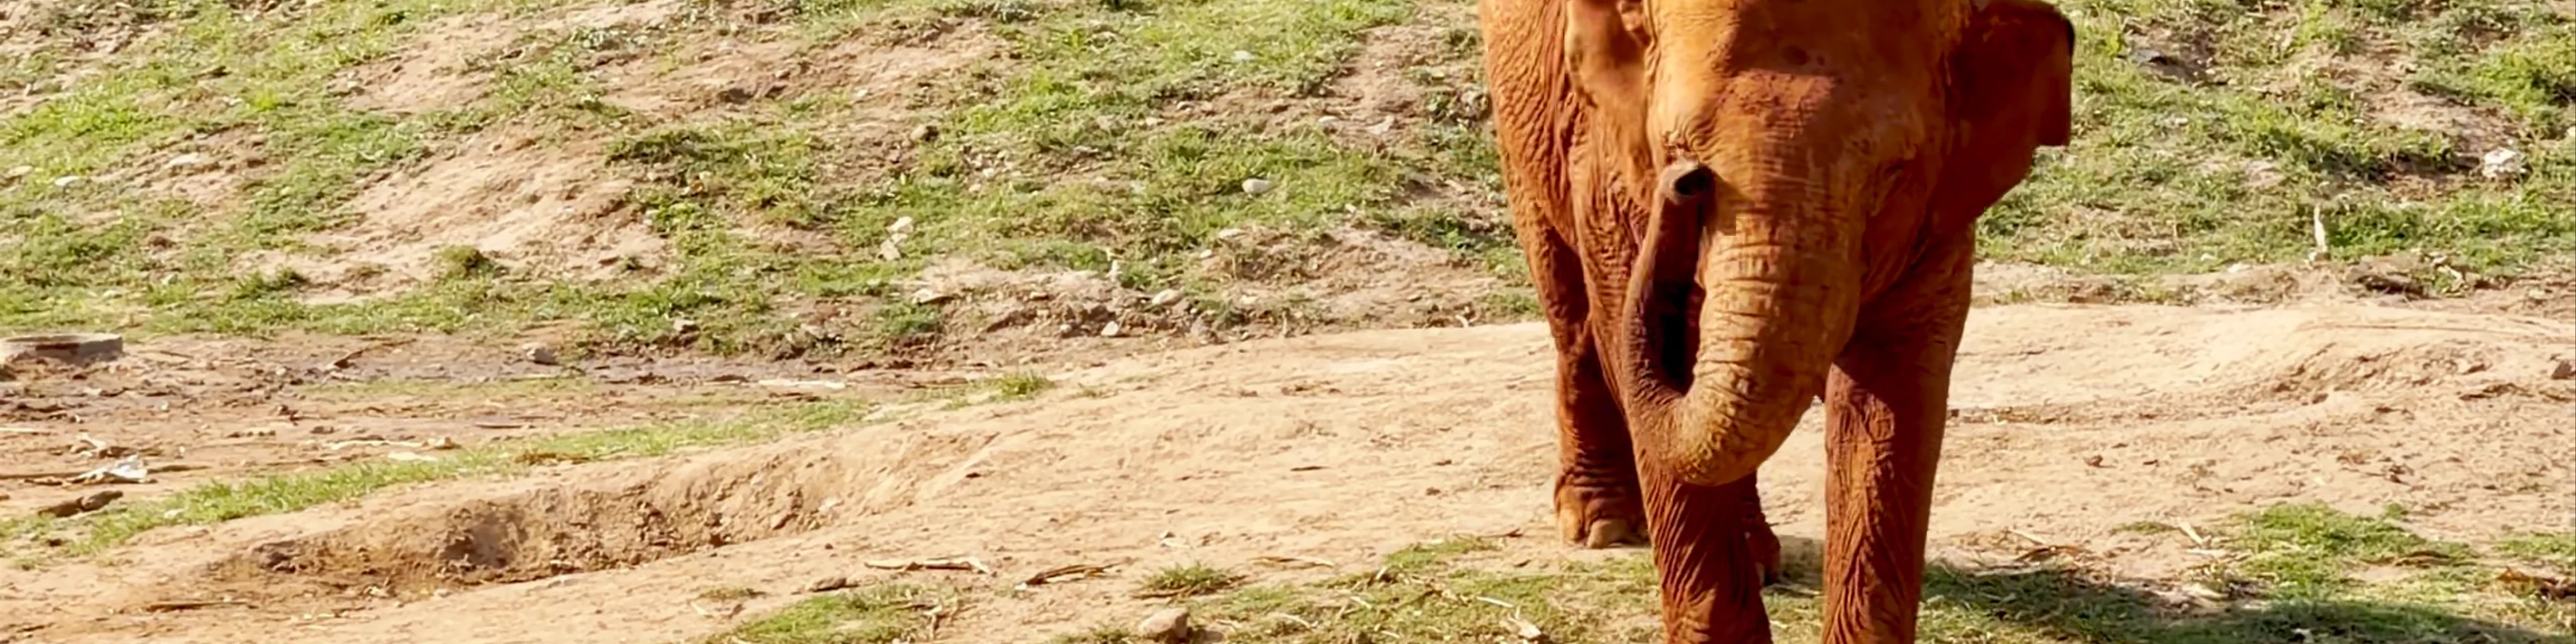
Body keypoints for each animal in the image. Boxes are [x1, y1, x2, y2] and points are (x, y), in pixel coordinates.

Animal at [1474, 0, 2074, 641]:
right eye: (1677, 149)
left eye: (1890, 173)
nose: (1685, 182)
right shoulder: (1607, 164)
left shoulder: (1938, 214)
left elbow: (1892, 393)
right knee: (1573, 315)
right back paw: (1600, 523)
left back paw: (1757, 554)